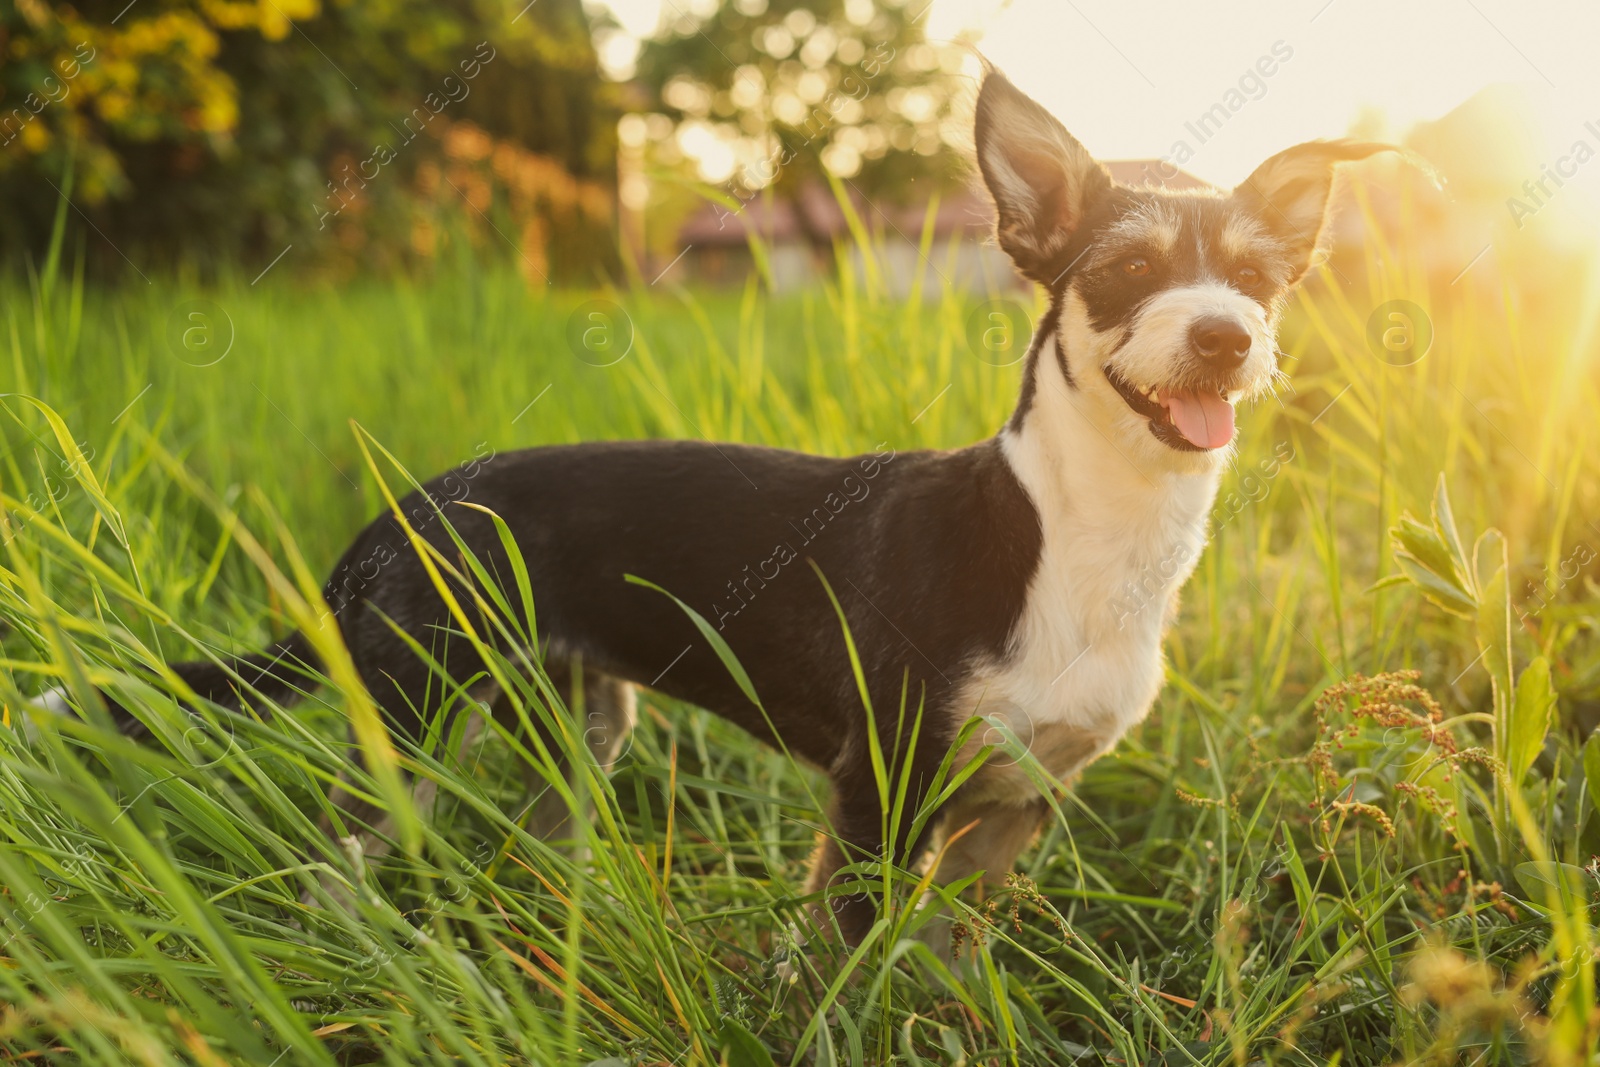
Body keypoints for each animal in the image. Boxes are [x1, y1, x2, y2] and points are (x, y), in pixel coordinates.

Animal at [31, 70, 1395, 947]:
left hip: (580, 726)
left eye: (1262, 281)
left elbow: (946, 965)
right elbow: (842, 969)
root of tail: (402, 504)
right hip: (407, 721)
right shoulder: (875, 792)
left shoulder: (1014, 812)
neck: (1074, 535)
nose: (1223, 336)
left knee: (539, 839)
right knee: (333, 856)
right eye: (1123, 271)